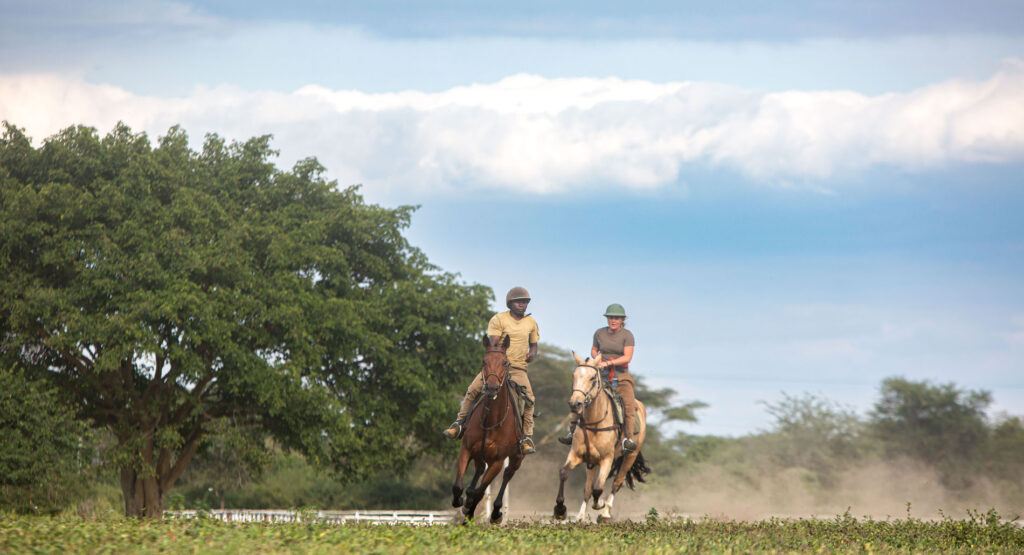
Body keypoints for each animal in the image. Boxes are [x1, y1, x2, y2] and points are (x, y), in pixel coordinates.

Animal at [450, 334, 525, 524]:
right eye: (484, 361)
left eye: (505, 362)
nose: (491, 387)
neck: (491, 421)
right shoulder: (467, 449)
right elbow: (458, 486)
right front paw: (460, 501)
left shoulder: (497, 461)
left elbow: (480, 492)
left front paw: (469, 514)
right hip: (480, 454)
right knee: (479, 471)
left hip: (517, 457)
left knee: (507, 474)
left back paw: (496, 512)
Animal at [553, 352, 650, 523]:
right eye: (574, 375)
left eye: (593, 378)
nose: (575, 404)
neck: (594, 422)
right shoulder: (577, 455)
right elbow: (564, 473)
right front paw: (559, 510)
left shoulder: (607, 459)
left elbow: (598, 488)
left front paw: (599, 505)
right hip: (592, 462)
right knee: (587, 487)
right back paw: (580, 516)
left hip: (630, 456)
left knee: (616, 483)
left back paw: (605, 513)